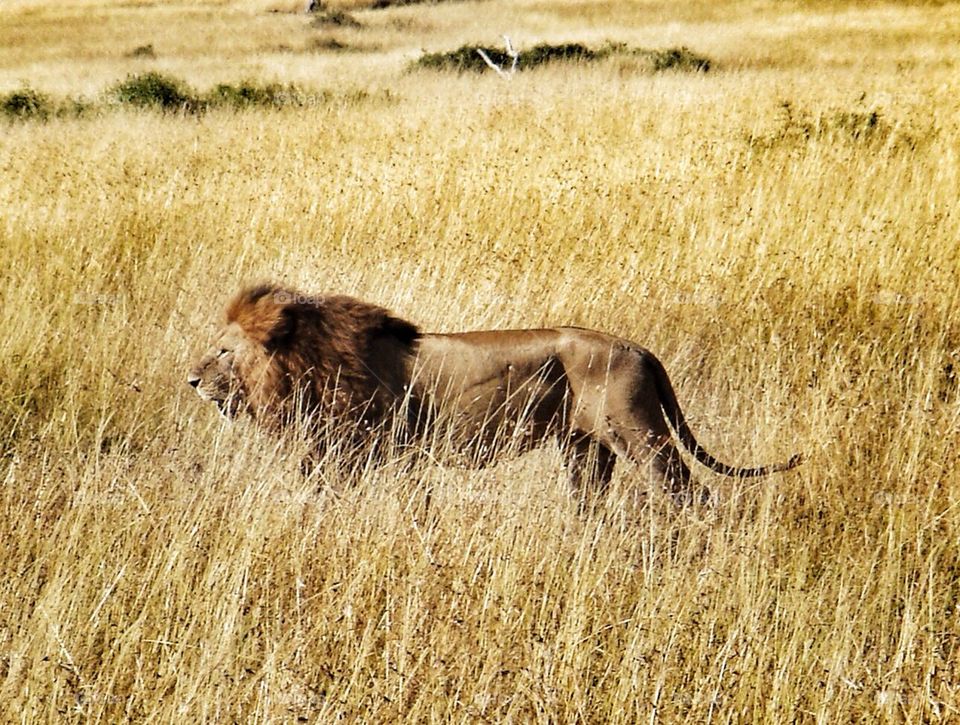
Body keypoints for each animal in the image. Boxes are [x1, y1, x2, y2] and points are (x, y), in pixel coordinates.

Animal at [187, 283, 802, 505]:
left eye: (222, 351)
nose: (191, 381)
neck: (300, 367)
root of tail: (640, 348)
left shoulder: (360, 450)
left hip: (639, 433)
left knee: (691, 495)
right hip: (585, 449)